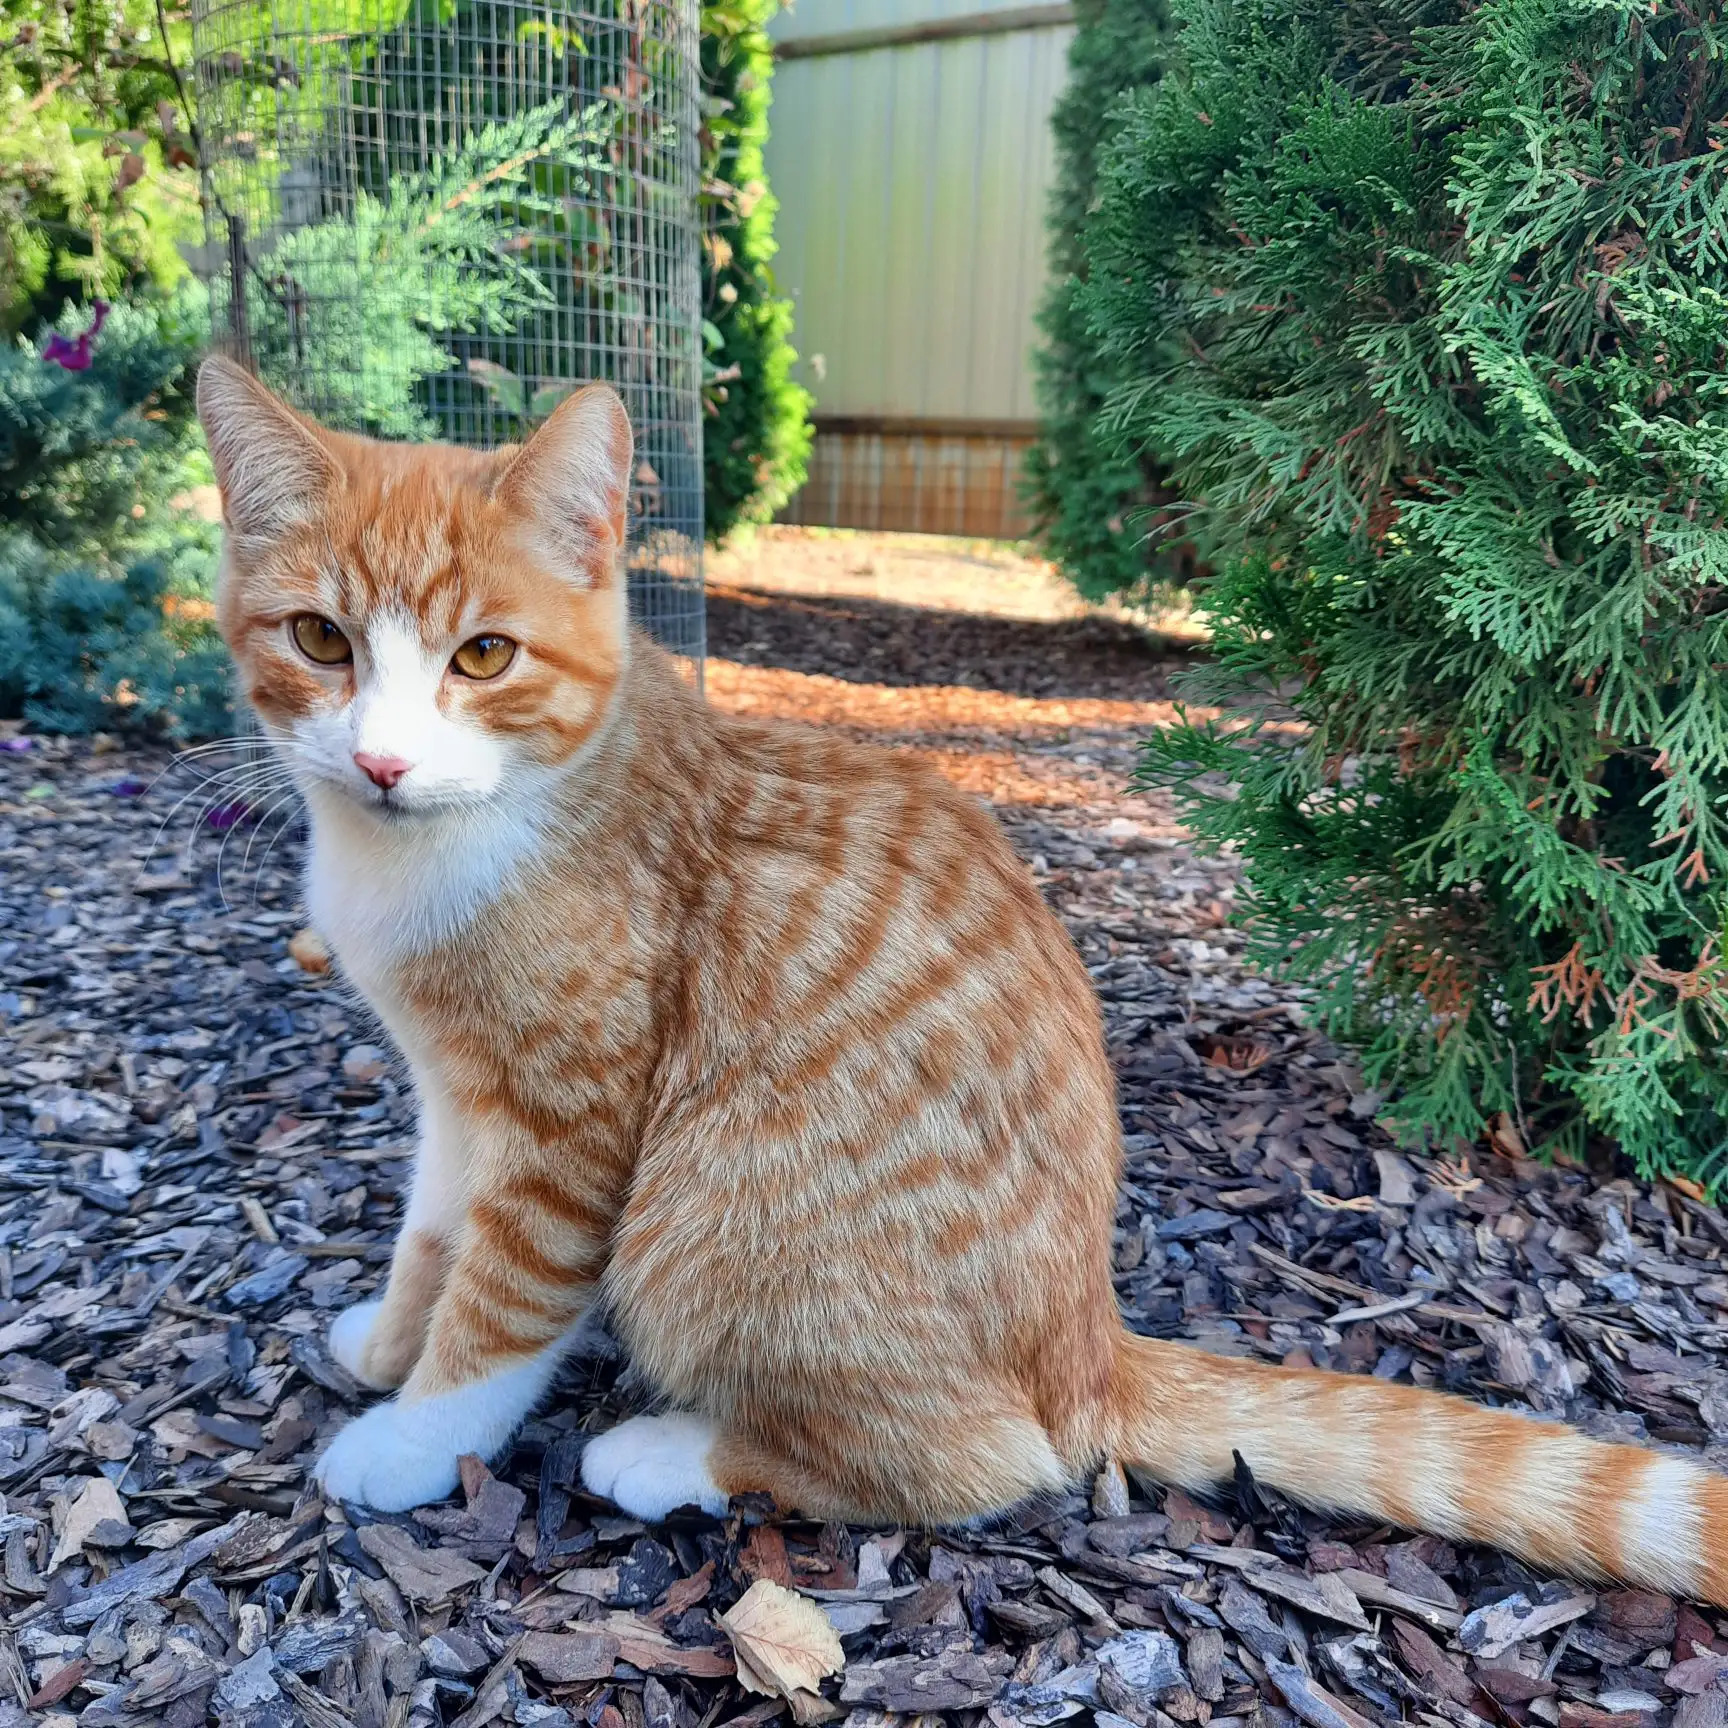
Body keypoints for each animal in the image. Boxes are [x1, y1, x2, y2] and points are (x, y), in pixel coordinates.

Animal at [198, 354, 1728, 1604]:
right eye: (323, 641)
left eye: (483, 656)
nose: (382, 760)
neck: (459, 839)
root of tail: (1090, 1343)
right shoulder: (454, 1093)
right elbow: (433, 1234)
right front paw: (391, 1340)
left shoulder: (570, 1120)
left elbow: (503, 1301)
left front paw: (410, 1439)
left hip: (708, 1215)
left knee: (988, 1464)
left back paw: (673, 1453)